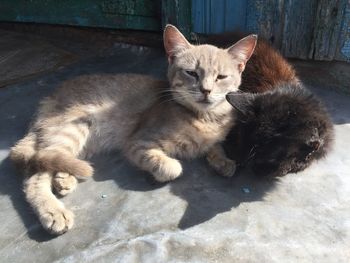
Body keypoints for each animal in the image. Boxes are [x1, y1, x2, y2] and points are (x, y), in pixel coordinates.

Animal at [10, 25, 258, 235]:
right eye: (192, 73)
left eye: (221, 77)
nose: (206, 90)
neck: (205, 118)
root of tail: (47, 100)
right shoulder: (138, 142)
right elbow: (172, 167)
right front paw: (165, 170)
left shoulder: (213, 137)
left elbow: (215, 146)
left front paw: (223, 161)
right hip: (70, 130)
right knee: (35, 174)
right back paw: (53, 211)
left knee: (53, 158)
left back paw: (64, 178)